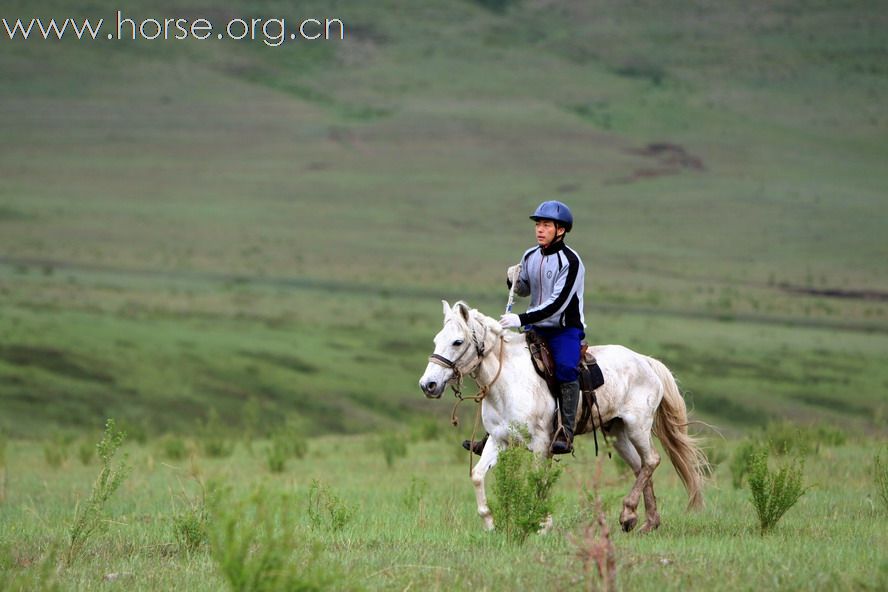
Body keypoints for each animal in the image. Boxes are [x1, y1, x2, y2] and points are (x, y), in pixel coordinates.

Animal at [418, 300, 708, 532]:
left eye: (457, 341)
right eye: (435, 340)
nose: (428, 385)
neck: (507, 382)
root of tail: (646, 361)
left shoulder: (540, 444)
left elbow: (537, 479)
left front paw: (541, 524)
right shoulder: (499, 440)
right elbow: (478, 475)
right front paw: (489, 522)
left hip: (638, 427)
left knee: (651, 461)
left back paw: (631, 512)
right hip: (617, 432)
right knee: (640, 466)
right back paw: (643, 521)